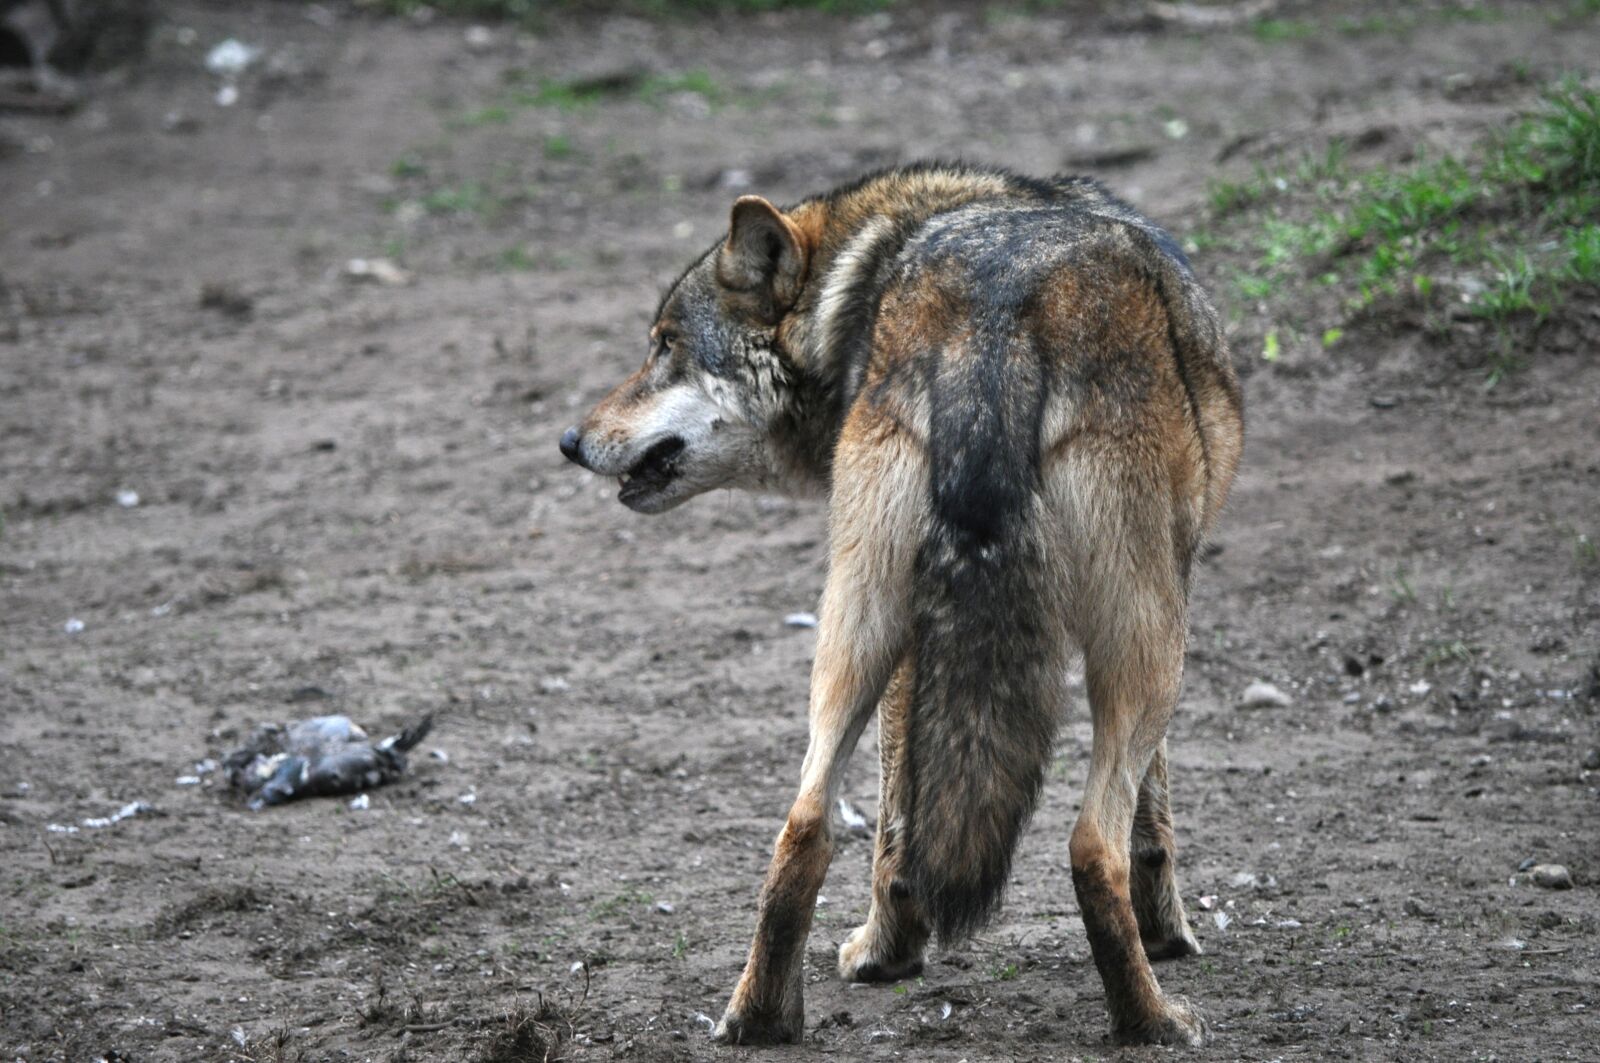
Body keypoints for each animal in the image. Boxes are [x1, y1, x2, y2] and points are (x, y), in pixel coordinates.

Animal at [558, 162, 1243, 1047]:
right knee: (1092, 842)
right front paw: (1169, 936)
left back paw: (765, 1014)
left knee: (806, 823)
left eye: (665, 346)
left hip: (857, 628)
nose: (569, 441)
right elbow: (1148, 815)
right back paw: (1152, 1019)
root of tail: (997, 320)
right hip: (1151, 652)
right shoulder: (1170, 586)